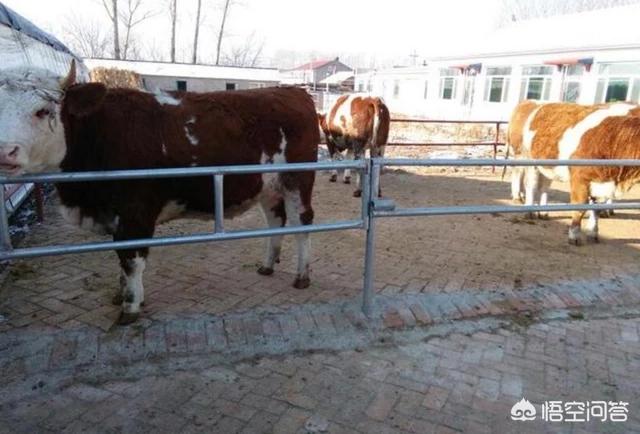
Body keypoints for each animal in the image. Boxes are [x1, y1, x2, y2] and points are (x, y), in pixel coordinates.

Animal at [0, 62, 320, 324]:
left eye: (42, 110)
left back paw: (302, 276)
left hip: (298, 180)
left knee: (302, 223)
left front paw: (130, 307)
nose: (5, 151)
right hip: (268, 186)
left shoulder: (135, 214)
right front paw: (121, 294)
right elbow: (120, 260)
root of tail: (293, 91)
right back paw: (267, 265)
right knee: (276, 221)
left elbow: (131, 260)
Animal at [512, 99, 640, 244]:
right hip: (529, 160)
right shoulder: (579, 178)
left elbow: (596, 209)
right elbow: (579, 207)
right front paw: (574, 235)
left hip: (548, 166)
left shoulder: (602, 182)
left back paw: (543, 212)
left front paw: (593, 232)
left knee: (544, 187)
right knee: (531, 186)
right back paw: (529, 211)